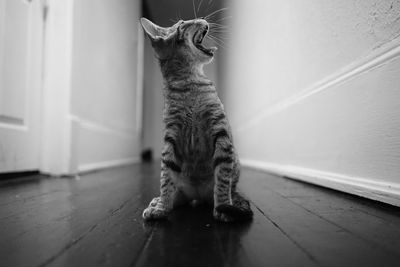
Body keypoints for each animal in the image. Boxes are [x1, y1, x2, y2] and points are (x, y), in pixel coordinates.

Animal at [141, 16, 253, 222]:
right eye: (182, 22)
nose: (202, 18)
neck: (190, 83)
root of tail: (198, 196)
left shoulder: (221, 131)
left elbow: (222, 181)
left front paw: (223, 207)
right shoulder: (170, 138)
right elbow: (165, 179)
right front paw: (161, 207)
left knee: (232, 191)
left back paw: (234, 204)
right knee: (175, 193)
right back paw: (158, 201)